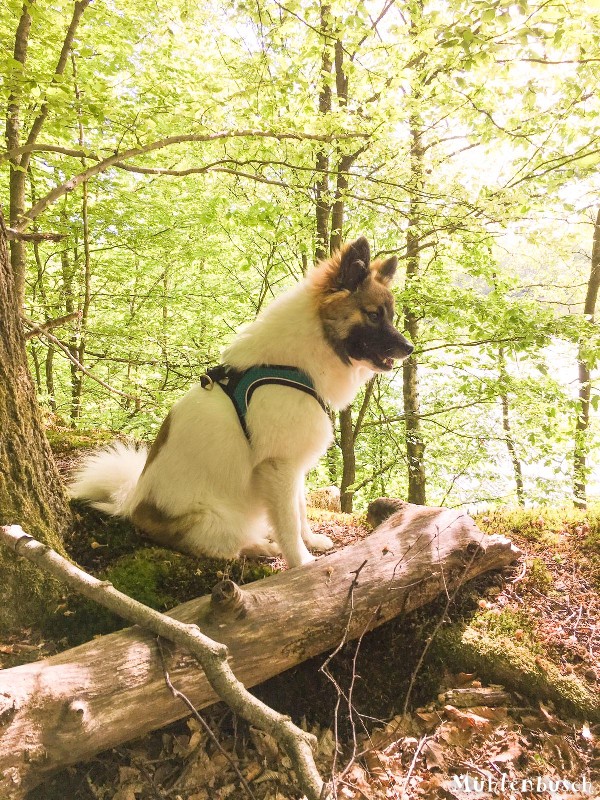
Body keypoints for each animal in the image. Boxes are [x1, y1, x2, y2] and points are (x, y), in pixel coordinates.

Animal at [69, 238, 412, 568]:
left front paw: (311, 541)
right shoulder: (278, 465)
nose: (409, 347)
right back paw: (262, 546)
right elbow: (288, 522)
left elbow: (300, 510)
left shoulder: (292, 464)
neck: (294, 362)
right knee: (226, 546)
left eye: (390, 315)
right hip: (217, 520)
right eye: (374, 314)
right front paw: (301, 562)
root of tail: (134, 506)